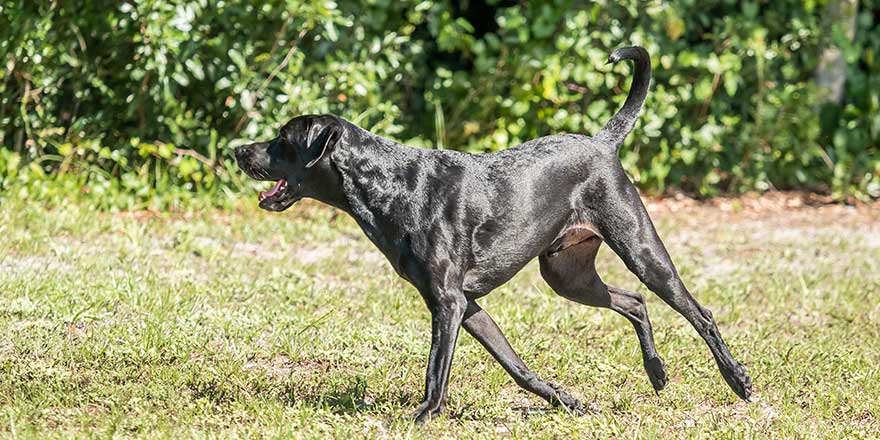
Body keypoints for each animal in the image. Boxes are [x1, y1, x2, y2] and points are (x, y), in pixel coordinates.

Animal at [234, 46, 748, 422]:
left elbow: (435, 372)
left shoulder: (448, 304)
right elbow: (516, 366)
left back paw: (737, 380)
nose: (238, 151)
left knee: (699, 313)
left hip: (641, 250)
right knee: (635, 303)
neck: (392, 184)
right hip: (567, 276)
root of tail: (602, 143)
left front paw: (422, 416)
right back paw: (657, 373)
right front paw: (566, 400)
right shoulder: (468, 307)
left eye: (283, 139)